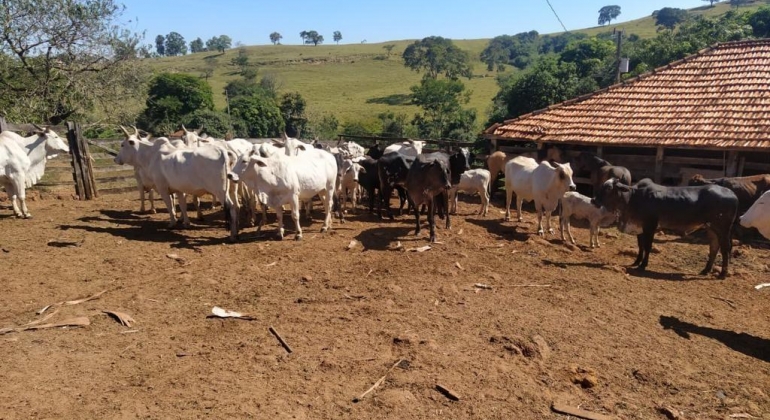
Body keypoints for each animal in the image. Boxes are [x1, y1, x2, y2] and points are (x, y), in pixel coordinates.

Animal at [592, 178, 736, 278]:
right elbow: (640, 246)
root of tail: (732, 194)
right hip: (711, 228)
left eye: (608, 188)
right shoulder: (640, 228)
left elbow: (647, 246)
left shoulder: (650, 226)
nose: (594, 200)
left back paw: (722, 274)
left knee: (725, 249)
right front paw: (636, 262)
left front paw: (643, 265)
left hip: (723, 228)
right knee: (714, 248)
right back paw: (705, 270)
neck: (633, 198)